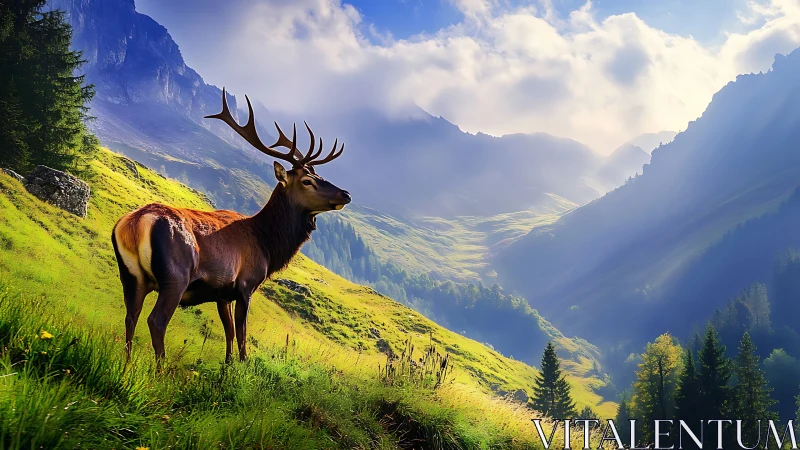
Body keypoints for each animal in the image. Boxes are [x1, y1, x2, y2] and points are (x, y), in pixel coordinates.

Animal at [111, 88, 351, 365]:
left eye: (320, 175)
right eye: (307, 180)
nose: (345, 194)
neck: (267, 244)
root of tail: (135, 224)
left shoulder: (222, 293)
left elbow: (229, 333)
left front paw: (227, 365)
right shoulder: (246, 285)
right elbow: (242, 334)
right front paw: (242, 365)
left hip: (131, 276)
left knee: (130, 317)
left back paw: (126, 366)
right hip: (175, 276)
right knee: (156, 321)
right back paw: (160, 369)